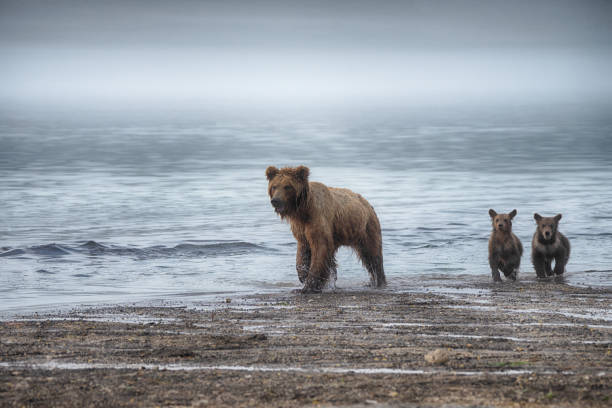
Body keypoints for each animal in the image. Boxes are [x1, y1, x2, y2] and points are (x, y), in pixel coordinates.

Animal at [266, 166, 384, 294]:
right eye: (274, 186)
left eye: (287, 186)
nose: (276, 200)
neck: (303, 210)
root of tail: (366, 202)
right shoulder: (300, 228)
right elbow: (303, 251)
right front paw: (303, 275)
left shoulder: (318, 219)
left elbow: (320, 248)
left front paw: (308, 286)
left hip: (366, 227)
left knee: (372, 255)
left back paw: (378, 281)